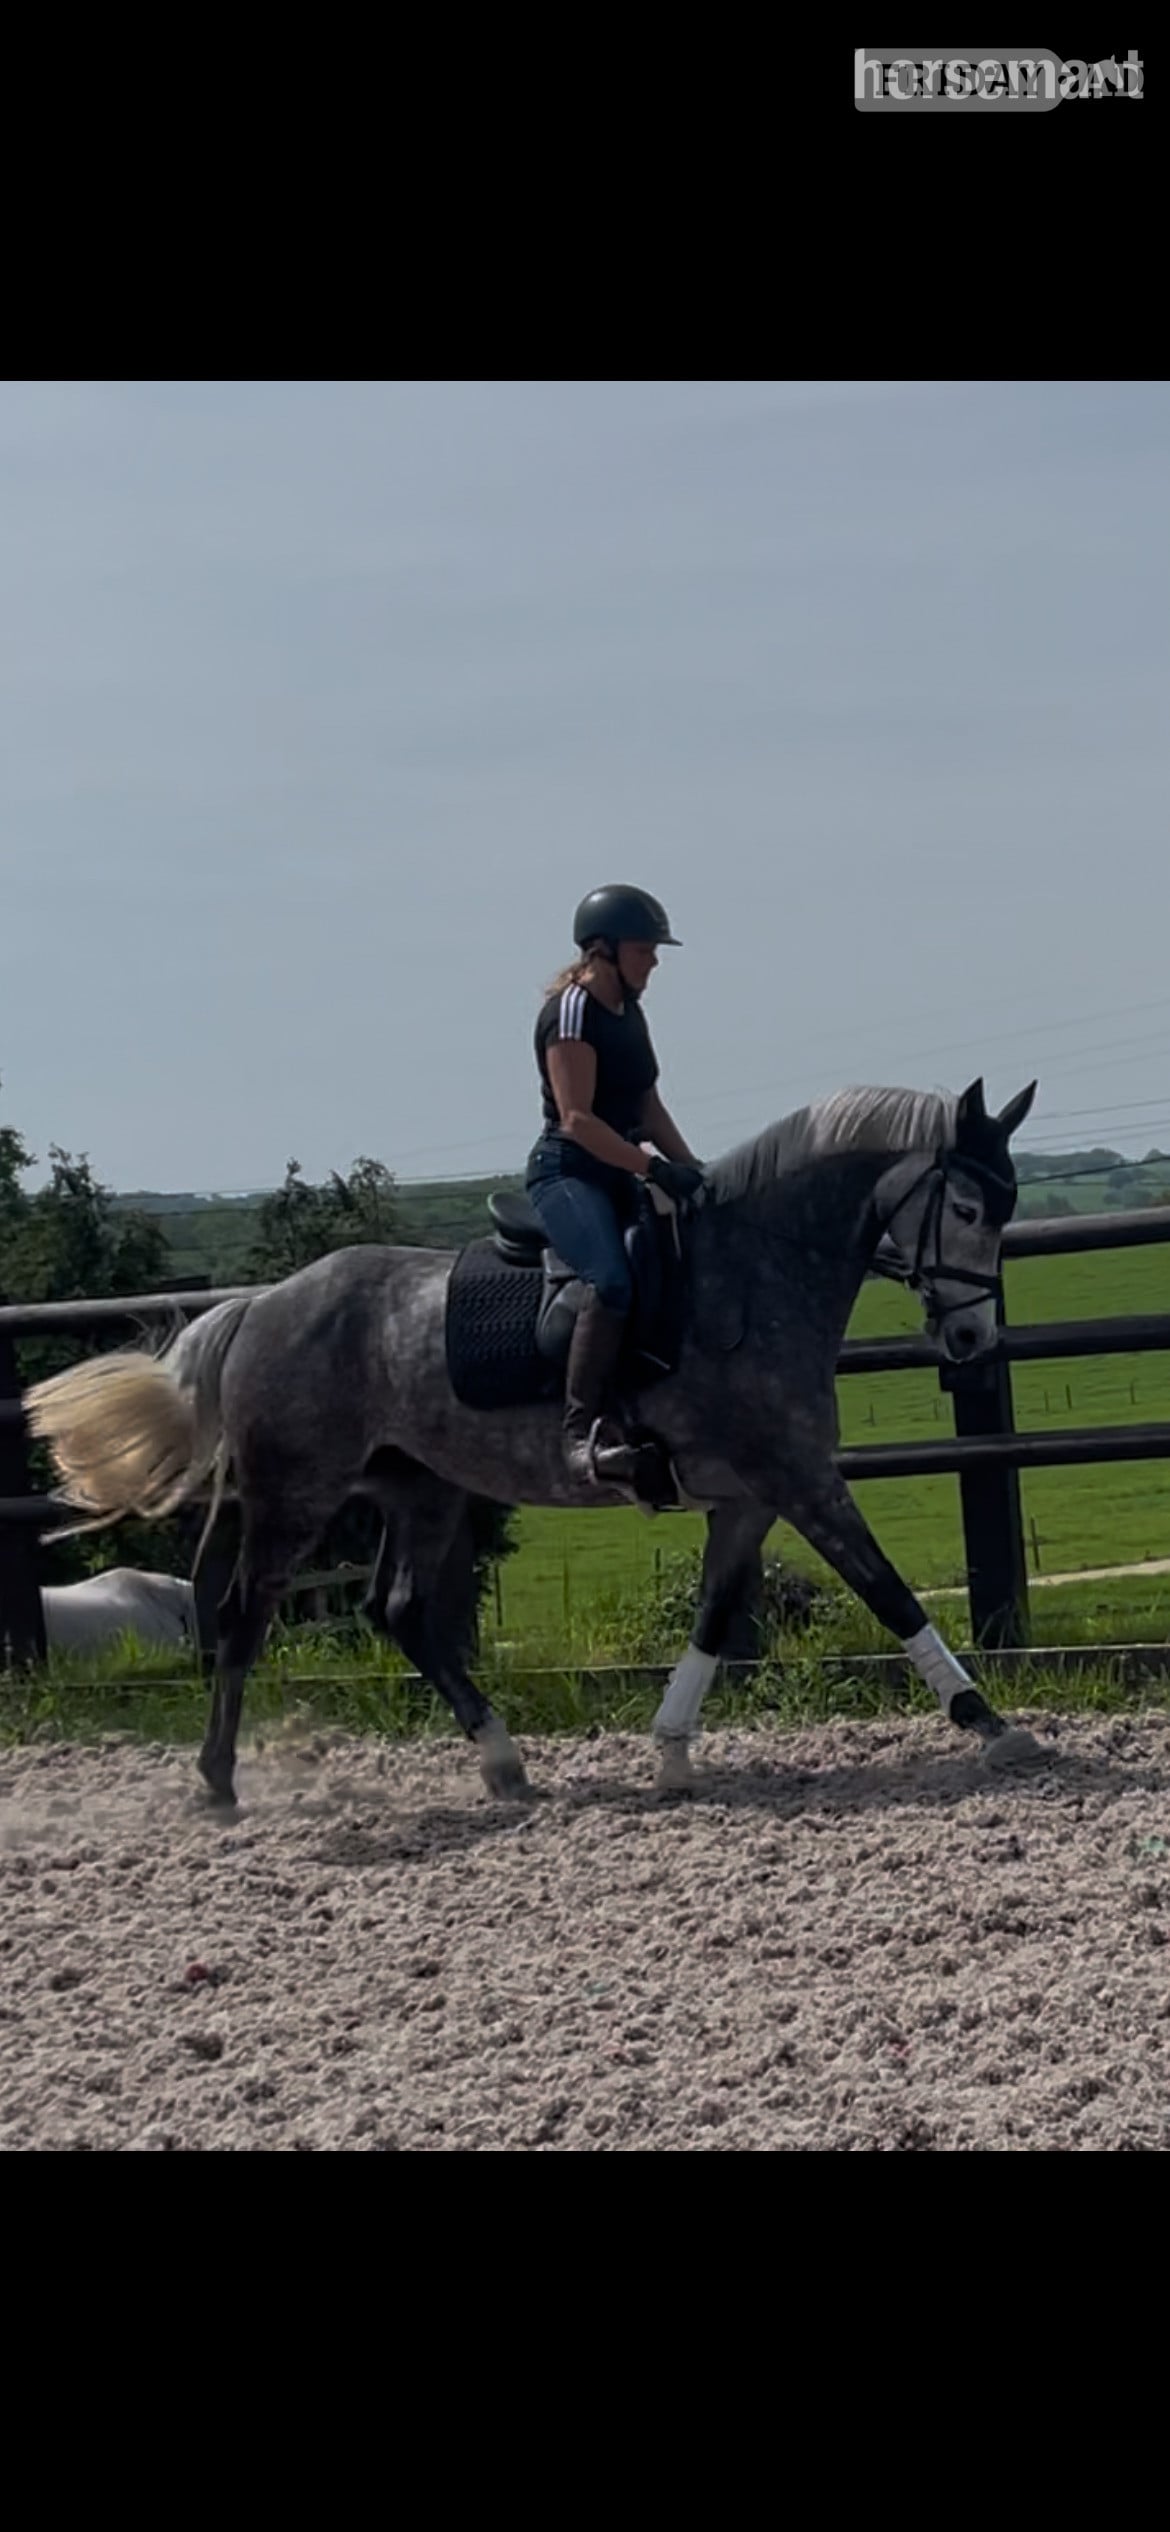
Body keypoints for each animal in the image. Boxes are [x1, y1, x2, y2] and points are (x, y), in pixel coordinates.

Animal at [25, 1074, 1039, 1807]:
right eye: (969, 1211)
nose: (971, 1339)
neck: (755, 1276)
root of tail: (265, 1303)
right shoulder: (798, 1478)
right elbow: (888, 1592)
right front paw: (993, 1725)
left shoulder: (749, 1498)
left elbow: (715, 1617)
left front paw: (673, 1755)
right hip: (294, 1494)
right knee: (242, 1616)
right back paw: (217, 1783)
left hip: (422, 1489)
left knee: (399, 1612)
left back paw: (505, 1764)